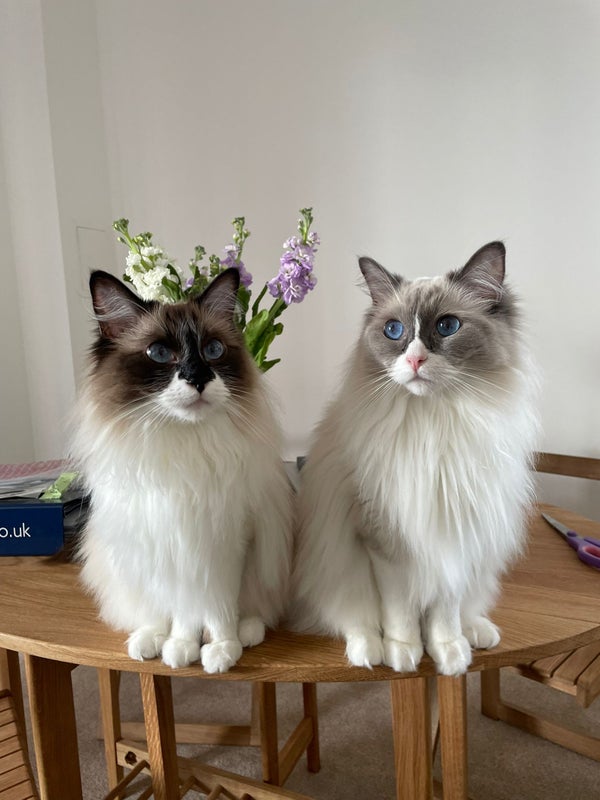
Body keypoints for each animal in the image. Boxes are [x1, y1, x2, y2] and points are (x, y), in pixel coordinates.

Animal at [73, 267, 293, 673]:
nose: (198, 379)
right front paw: (180, 647)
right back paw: (149, 640)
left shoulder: (225, 543)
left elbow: (217, 608)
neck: (183, 447)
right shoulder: (167, 540)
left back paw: (244, 634)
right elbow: (182, 611)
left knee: (252, 610)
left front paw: (220, 650)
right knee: (151, 613)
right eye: (160, 353)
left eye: (213, 350)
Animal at [291, 242, 539, 676]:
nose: (415, 361)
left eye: (447, 327)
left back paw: (477, 633)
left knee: (467, 610)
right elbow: (401, 612)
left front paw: (449, 653)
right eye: (394, 331)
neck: (434, 426)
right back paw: (369, 652)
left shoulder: (455, 533)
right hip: (336, 567)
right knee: (352, 619)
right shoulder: (385, 542)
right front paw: (405, 654)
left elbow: (445, 612)